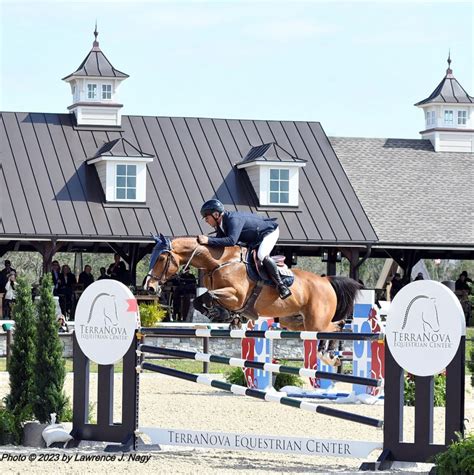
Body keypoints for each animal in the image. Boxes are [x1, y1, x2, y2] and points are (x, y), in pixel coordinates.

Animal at [146, 234, 362, 364]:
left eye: (161, 259)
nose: (149, 287)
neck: (219, 261)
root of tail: (327, 281)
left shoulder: (236, 295)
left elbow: (206, 297)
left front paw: (221, 314)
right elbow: (200, 300)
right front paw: (227, 317)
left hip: (315, 322)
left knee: (334, 328)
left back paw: (327, 354)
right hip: (294, 321)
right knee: (335, 326)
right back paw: (329, 354)